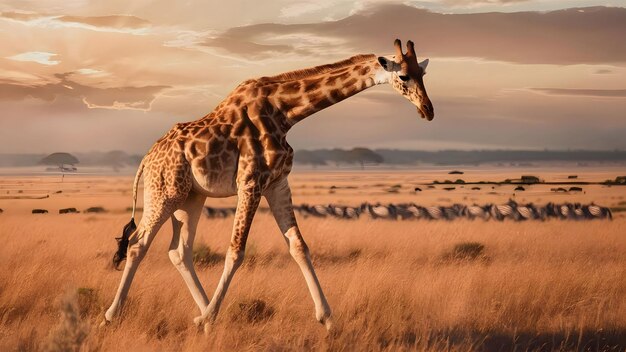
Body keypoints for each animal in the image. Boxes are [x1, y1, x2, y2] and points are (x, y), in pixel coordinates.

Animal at [103, 40, 434, 332]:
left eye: (423, 73)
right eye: (403, 76)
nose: (428, 110)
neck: (285, 112)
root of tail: (147, 158)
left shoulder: (278, 183)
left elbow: (299, 246)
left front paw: (328, 320)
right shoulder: (251, 181)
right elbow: (236, 251)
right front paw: (207, 321)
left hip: (191, 198)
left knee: (179, 251)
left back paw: (205, 312)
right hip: (164, 193)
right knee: (138, 243)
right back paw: (113, 315)